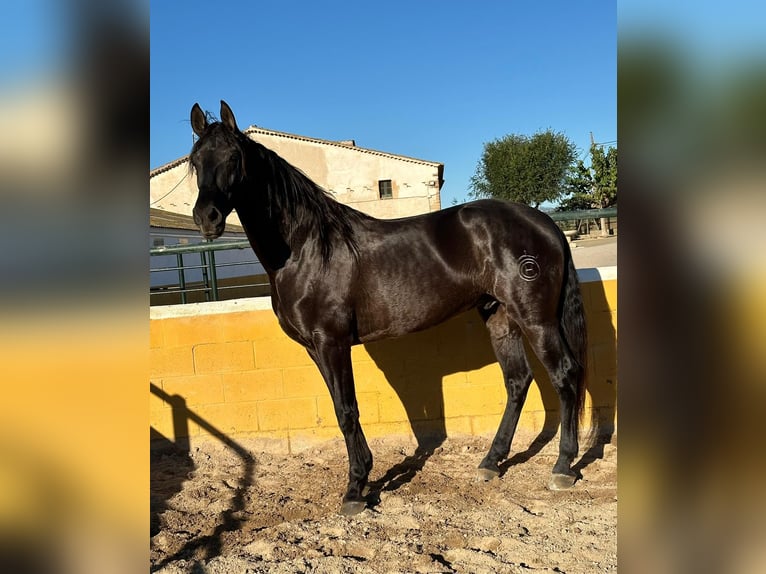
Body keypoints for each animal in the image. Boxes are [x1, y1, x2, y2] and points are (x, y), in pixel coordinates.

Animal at [189, 100, 592, 516]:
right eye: (195, 160)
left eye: (233, 157)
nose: (207, 217)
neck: (307, 248)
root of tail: (543, 221)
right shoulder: (316, 348)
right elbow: (341, 408)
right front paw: (363, 477)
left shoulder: (331, 342)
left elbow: (347, 410)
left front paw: (355, 489)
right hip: (499, 315)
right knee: (517, 381)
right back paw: (490, 463)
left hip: (536, 320)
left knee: (564, 375)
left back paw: (563, 467)